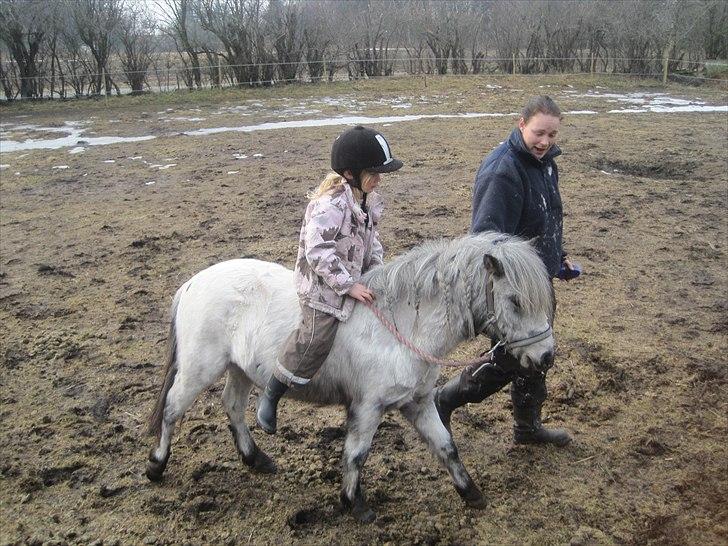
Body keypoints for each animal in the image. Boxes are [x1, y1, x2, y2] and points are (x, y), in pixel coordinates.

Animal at [145, 232, 555, 522]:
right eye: (516, 301)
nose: (546, 356)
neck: (402, 324)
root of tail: (192, 284)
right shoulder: (368, 407)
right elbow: (356, 454)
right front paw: (354, 504)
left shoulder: (418, 403)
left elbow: (446, 447)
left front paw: (471, 494)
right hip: (199, 368)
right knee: (172, 410)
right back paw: (156, 466)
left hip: (239, 368)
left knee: (232, 406)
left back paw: (255, 459)